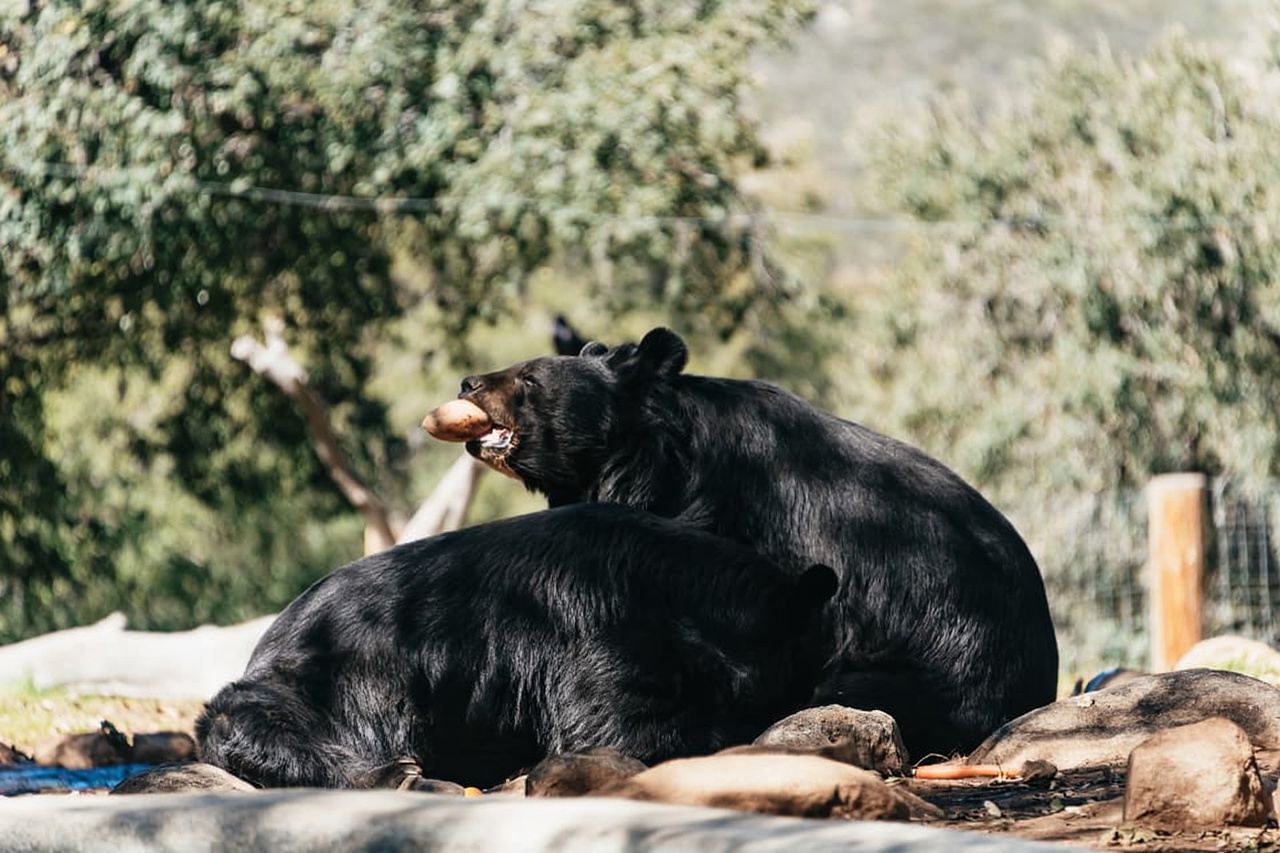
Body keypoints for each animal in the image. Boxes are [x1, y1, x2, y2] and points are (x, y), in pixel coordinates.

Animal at [195, 503, 837, 789]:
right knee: (269, 727)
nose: (809, 691)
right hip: (320, 680)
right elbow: (616, 724)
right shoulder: (593, 623)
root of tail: (261, 643)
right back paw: (396, 772)